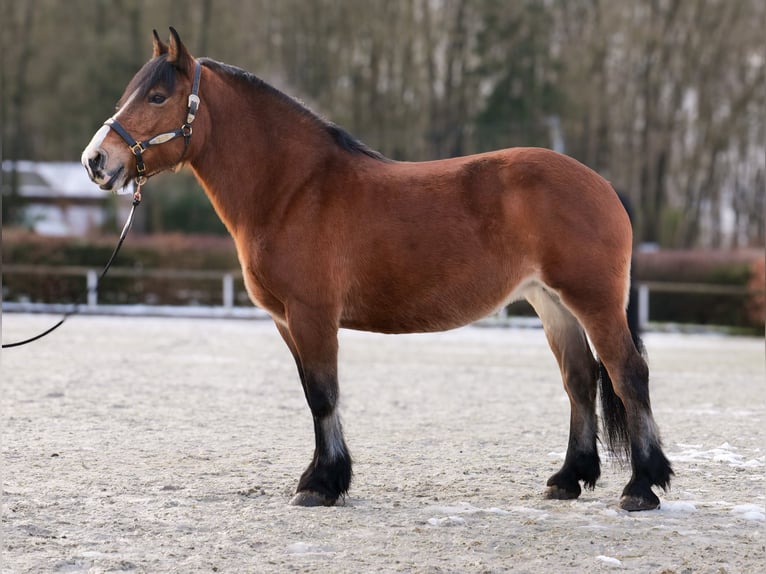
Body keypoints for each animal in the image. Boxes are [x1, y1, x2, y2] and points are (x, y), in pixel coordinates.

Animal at [81, 28, 676, 512]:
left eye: (158, 96)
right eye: (130, 92)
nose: (96, 161)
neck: (293, 190)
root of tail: (600, 183)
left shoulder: (312, 315)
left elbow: (324, 395)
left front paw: (322, 484)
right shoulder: (286, 321)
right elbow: (312, 393)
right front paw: (322, 476)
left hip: (592, 301)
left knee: (627, 374)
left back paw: (641, 487)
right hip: (550, 303)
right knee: (580, 379)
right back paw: (568, 478)